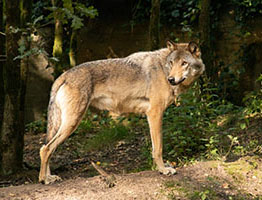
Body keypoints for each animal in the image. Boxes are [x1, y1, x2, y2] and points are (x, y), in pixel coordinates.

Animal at [38, 40, 205, 184]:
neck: (163, 69)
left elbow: (155, 148)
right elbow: (158, 148)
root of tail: (62, 76)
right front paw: (163, 170)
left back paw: (50, 177)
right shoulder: (155, 114)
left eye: (184, 63)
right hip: (72, 123)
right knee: (45, 148)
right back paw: (44, 179)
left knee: (47, 148)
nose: (171, 79)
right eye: (172, 63)